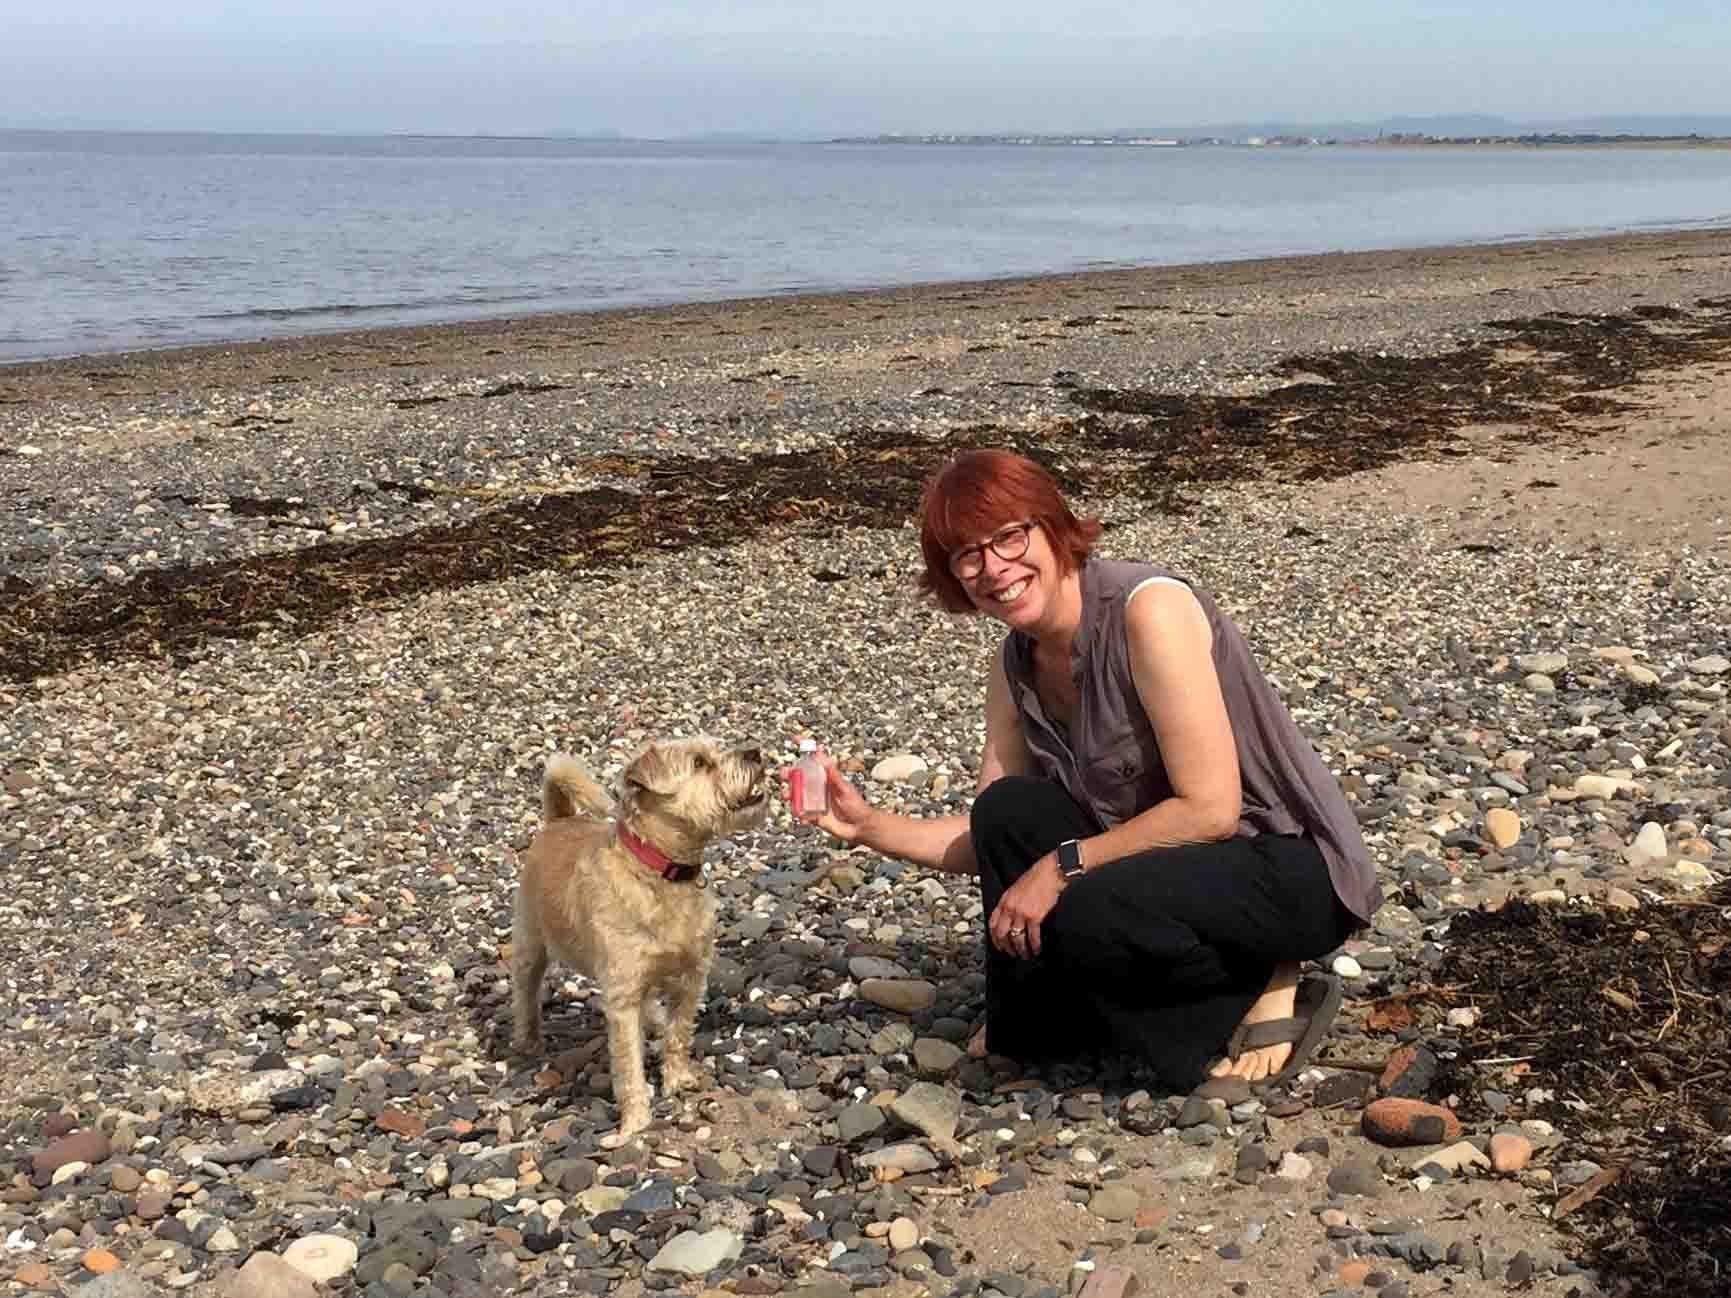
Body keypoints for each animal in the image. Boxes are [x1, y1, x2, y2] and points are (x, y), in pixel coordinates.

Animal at [505, 740, 765, 1135]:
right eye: (699, 763)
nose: (754, 752)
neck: (662, 872)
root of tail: (559, 820)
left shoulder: (691, 977)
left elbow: (679, 1033)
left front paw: (677, 1079)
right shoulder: (622, 997)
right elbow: (628, 1065)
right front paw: (636, 1122)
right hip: (530, 942)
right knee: (526, 992)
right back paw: (527, 1040)